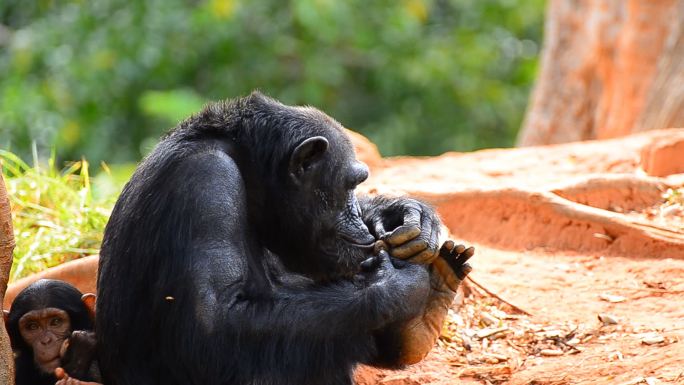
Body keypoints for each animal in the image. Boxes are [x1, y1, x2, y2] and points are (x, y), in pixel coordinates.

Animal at [96, 93, 472, 384]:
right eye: (350, 185)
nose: (357, 216)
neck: (249, 174)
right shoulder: (206, 184)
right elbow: (210, 325)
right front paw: (397, 286)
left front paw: (408, 216)